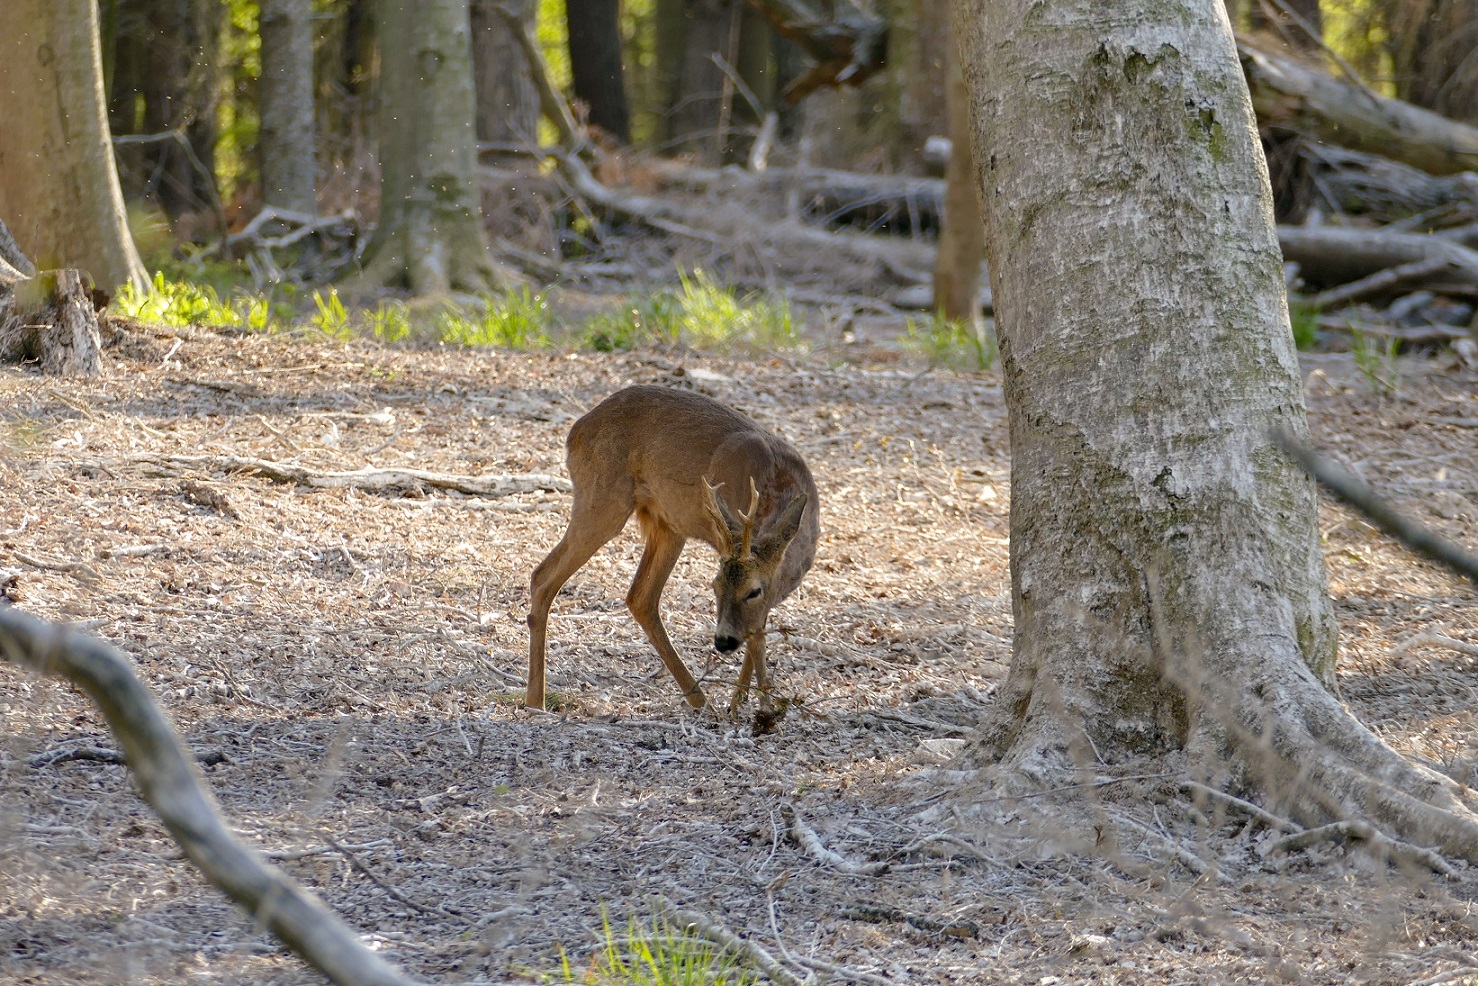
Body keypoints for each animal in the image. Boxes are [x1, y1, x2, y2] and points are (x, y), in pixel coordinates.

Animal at [526, 384, 821, 724]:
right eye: (714, 586)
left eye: (753, 591)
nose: (723, 641)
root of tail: (576, 431)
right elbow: (757, 635)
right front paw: (761, 708)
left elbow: (758, 627)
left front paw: (744, 700)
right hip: (603, 500)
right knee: (542, 577)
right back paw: (536, 701)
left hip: (666, 524)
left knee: (640, 597)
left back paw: (700, 700)